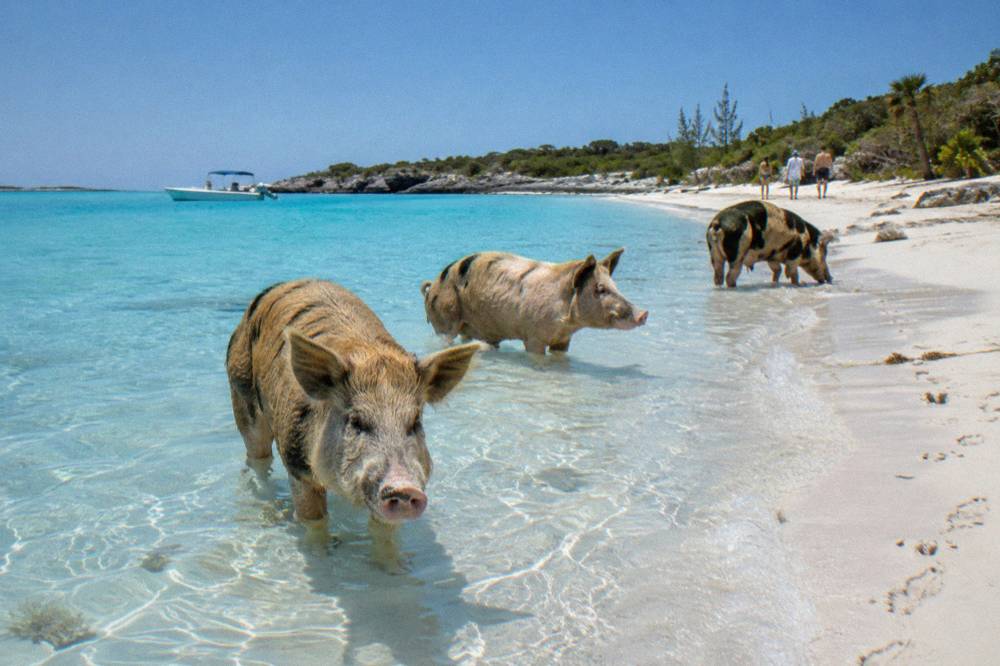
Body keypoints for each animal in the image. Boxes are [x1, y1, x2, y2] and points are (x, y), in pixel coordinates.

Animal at [226, 279, 480, 565]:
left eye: (415, 422)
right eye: (356, 421)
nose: (404, 487)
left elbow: (383, 531)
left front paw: (394, 568)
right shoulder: (296, 463)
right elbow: (314, 521)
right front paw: (323, 554)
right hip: (241, 392)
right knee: (257, 459)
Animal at [420, 248, 648, 355]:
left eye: (615, 285)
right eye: (600, 289)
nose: (644, 313)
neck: (567, 323)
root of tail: (432, 285)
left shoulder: (563, 339)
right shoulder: (533, 337)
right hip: (443, 317)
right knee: (445, 338)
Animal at [705, 201, 834, 288]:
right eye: (824, 254)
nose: (831, 278)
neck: (807, 241)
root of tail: (717, 223)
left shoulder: (772, 256)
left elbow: (777, 270)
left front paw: (774, 283)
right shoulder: (795, 252)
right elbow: (792, 272)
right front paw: (799, 285)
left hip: (714, 253)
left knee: (718, 275)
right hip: (737, 254)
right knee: (729, 276)